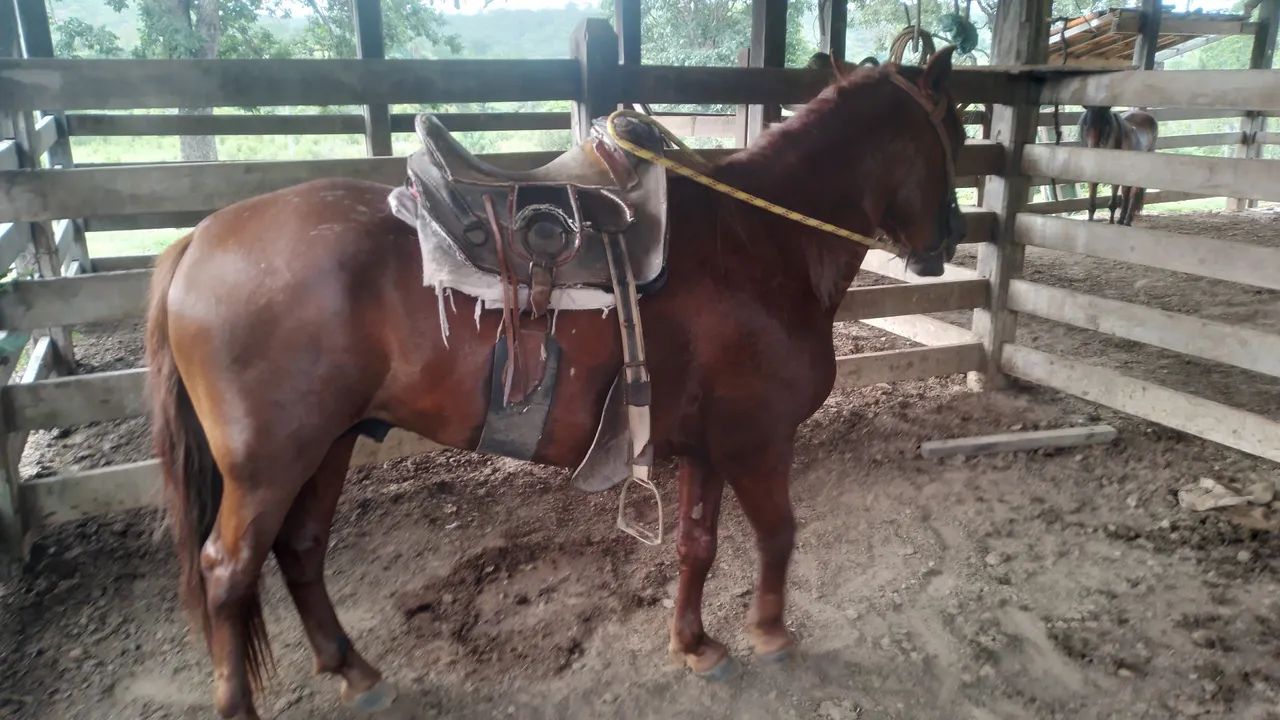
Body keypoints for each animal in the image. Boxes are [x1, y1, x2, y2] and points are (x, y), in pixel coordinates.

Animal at [146, 47, 966, 719]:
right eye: (954, 130)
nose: (947, 242)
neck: (764, 242)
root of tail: (196, 240)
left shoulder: (707, 448)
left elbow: (697, 545)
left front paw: (696, 646)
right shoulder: (758, 442)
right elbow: (778, 533)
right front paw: (770, 633)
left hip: (330, 444)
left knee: (302, 549)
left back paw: (353, 671)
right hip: (270, 464)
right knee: (228, 573)